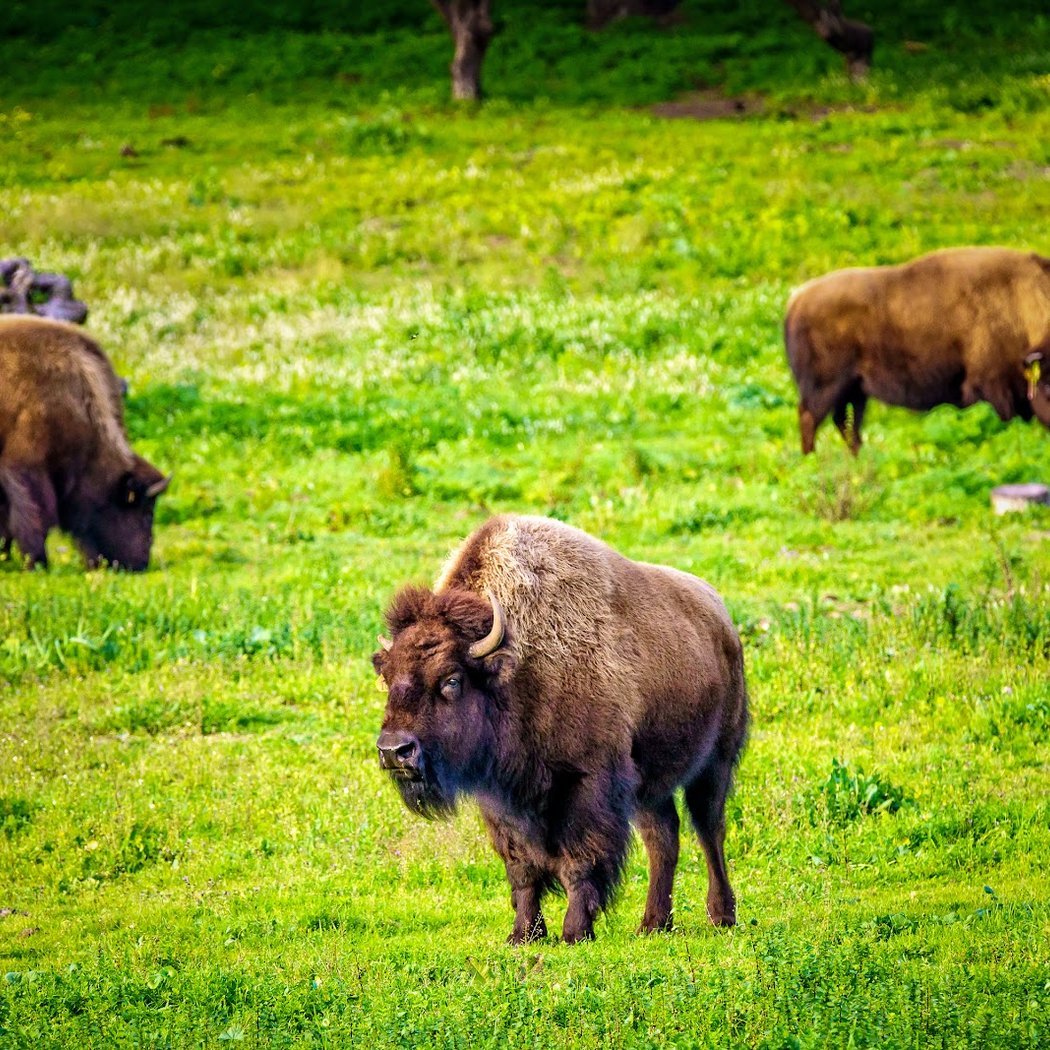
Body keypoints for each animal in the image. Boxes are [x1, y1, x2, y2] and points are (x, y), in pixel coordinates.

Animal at [373, 514, 748, 944]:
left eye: (451, 680)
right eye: (387, 677)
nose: (394, 751)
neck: (516, 672)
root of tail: (723, 623)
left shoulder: (588, 785)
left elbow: (579, 861)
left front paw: (575, 932)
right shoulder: (500, 799)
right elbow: (521, 870)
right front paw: (523, 935)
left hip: (715, 764)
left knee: (709, 830)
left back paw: (721, 915)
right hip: (649, 783)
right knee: (663, 837)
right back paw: (653, 924)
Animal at [785, 247, 1050, 453]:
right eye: (1048, 387)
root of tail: (796, 300)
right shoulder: (992, 384)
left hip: (854, 390)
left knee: (847, 425)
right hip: (825, 388)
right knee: (810, 418)